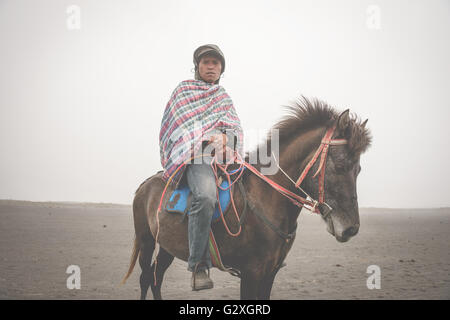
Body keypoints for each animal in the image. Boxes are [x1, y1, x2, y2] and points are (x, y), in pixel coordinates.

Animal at [121, 97, 370, 300]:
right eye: (340, 165)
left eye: (358, 169)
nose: (351, 228)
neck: (265, 198)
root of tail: (145, 185)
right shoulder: (251, 273)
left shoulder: (270, 272)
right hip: (146, 240)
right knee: (146, 278)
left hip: (167, 246)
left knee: (156, 278)